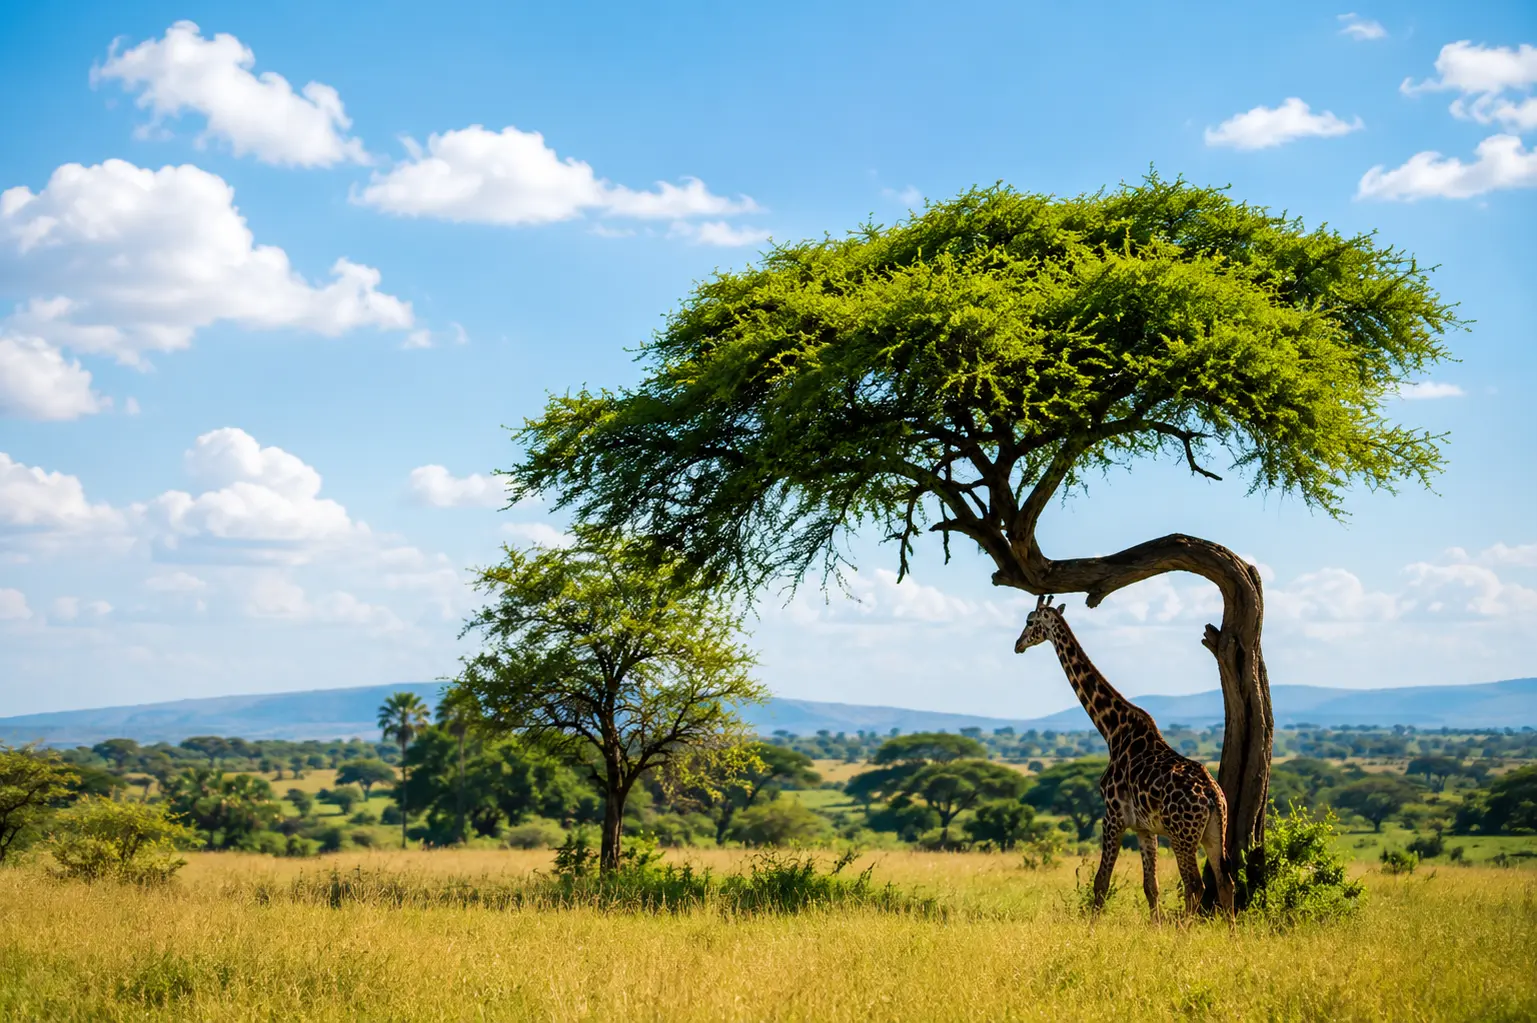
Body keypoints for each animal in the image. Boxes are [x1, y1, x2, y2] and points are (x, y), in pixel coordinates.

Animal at [1015, 595, 1235, 918]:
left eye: (1030, 621)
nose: (1017, 644)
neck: (1112, 730)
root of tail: (1211, 795)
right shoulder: (1145, 827)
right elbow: (1151, 887)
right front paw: (1155, 927)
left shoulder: (1113, 815)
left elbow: (1100, 883)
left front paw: (1092, 928)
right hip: (1214, 832)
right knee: (1224, 882)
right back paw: (1232, 930)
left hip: (1182, 835)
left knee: (1196, 886)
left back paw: (1186, 929)